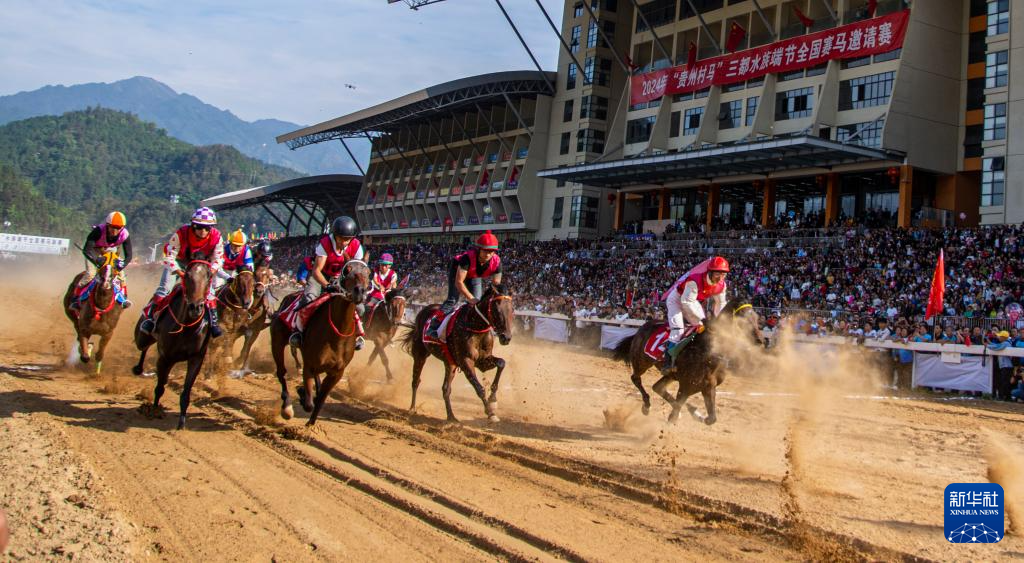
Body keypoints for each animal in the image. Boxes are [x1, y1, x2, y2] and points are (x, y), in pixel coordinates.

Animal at [131, 257, 215, 430]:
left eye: (209, 276)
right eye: (187, 275)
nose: (196, 307)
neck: (187, 326)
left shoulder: (196, 358)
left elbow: (186, 392)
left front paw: (181, 423)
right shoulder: (165, 358)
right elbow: (160, 387)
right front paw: (154, 411)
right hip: (142, 338)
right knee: (143, 346)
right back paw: (139, 367)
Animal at [268, 260, 371, 426]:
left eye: (368, 273)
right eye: (347, 270)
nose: (360, 292)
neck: (337, 332)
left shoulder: (337, 372)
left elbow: (321, 399)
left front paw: (310, 423)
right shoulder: (309, 365)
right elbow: (309, 404)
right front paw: (302, 394)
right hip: (277, 341)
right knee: (281, 372)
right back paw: (287, 406)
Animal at [399, 283, 514, 423]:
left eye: (512, 310)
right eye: (496, 309)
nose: (506, 337)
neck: (475, 325)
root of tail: (424, 310)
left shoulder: (483, 361)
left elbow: (501, 363)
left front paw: (493, 400)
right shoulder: (466, 361)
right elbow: (479, 388)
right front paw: (490, 412)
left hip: (450, 364)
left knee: (445, 389)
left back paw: (451, 417)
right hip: (420, 353)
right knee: (416, 380)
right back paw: (412, 408)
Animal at [611, 298, 761, 425]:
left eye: (756, 318)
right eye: (743, 319)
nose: (760, 339)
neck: (707, 353)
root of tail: (641, 329)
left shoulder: (708, 386)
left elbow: (711, 418)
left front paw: (696, 414)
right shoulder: (686, 385)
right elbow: (677, 409)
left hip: (671, 375)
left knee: (657, 387)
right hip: (642, 361)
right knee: (636, 378)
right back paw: (647, 406)